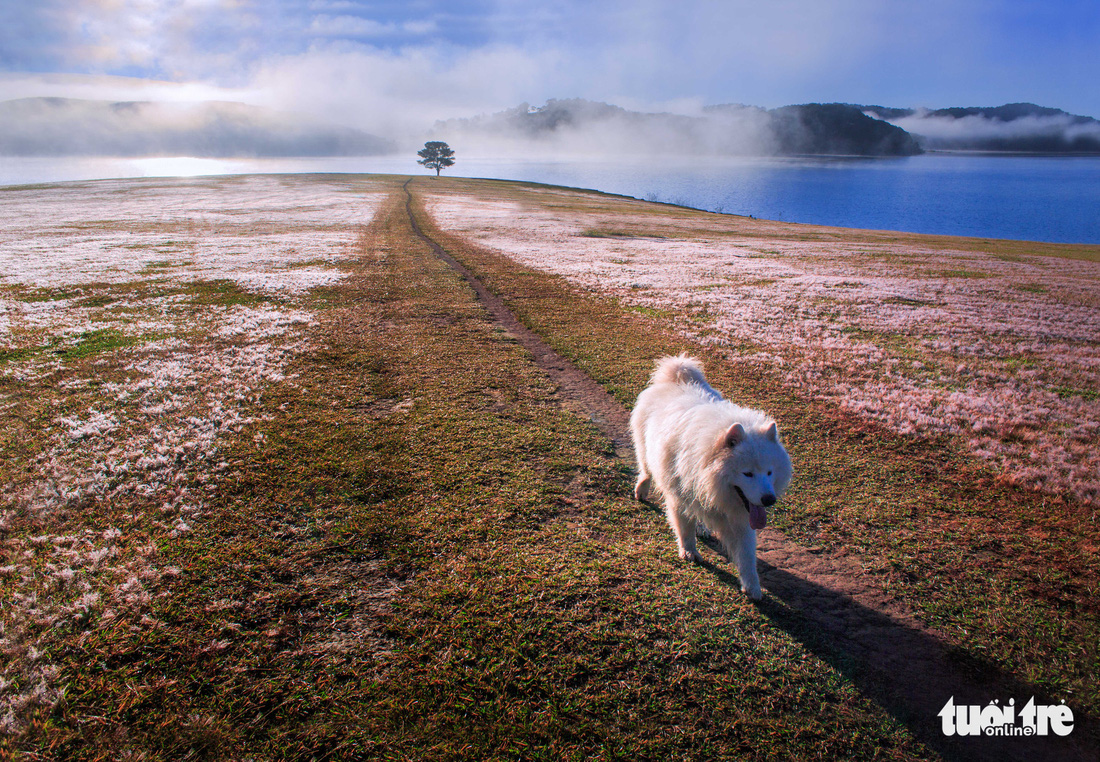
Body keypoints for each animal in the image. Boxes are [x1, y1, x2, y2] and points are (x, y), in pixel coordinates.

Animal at [633, 354, 796, 598]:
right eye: (747, 473)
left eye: (769, 472)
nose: (769, 499)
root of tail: (677, 377)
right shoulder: (679, 494)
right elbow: (684, 527)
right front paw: (689, 551)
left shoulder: (742, 516)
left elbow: (746, 554)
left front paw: (752, 586)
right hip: (645, 451)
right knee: (645, 470)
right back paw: (642, 490)